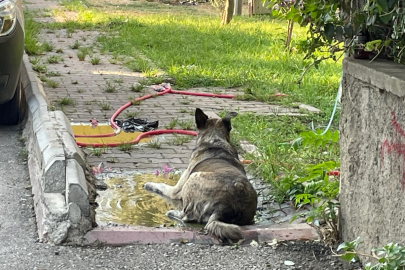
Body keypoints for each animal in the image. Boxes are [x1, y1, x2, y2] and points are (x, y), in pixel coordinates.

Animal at [142, 107, 256, 243]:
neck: (214, 140)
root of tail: (224, 207)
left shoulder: (175, 190)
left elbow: (162, 185)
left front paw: (149, 184)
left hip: (193, 178)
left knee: (186, 216)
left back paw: (172, 213)